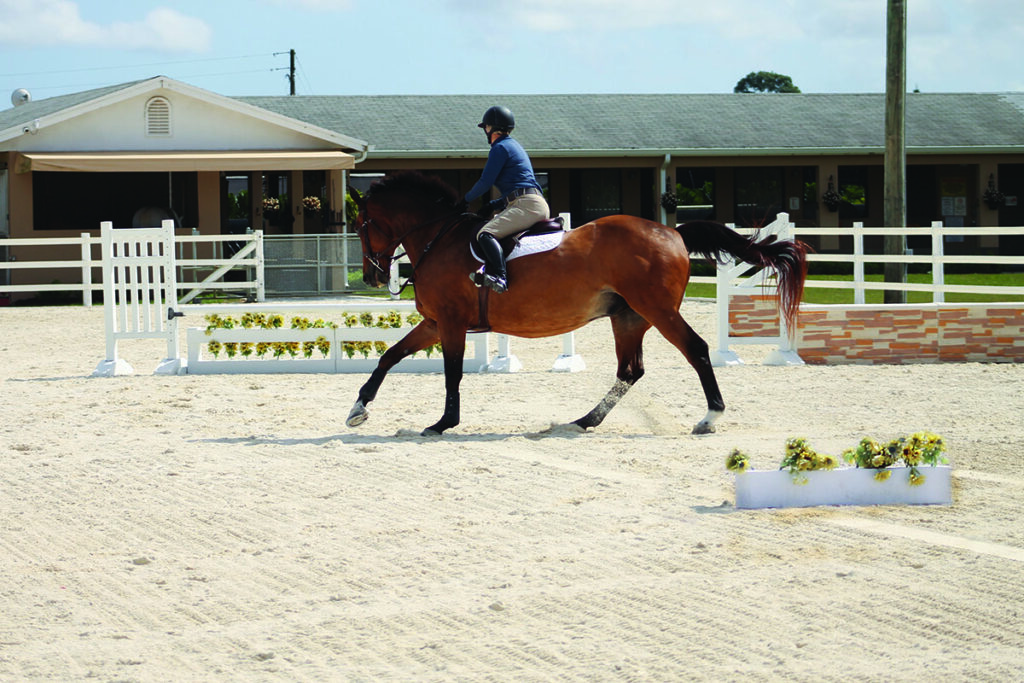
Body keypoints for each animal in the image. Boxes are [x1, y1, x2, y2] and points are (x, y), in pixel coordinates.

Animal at [346, 174, 806, 436]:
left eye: (361, 223)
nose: (371, 276)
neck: (437, 236)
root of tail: (673, 232)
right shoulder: (435, 323)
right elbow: (389, 356)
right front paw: (357, 410)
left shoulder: (451, 323)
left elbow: (452, 375)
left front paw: (443, 424)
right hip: (628, 317)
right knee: (630, 370)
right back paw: (584, 421)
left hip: (658, 311)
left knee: (696, 350)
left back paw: (710, 419)